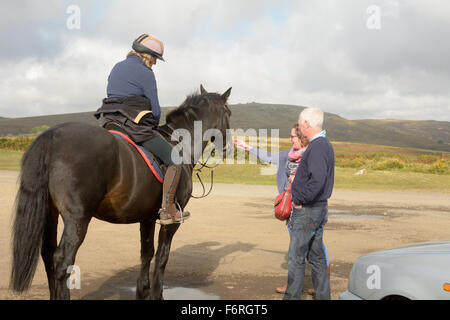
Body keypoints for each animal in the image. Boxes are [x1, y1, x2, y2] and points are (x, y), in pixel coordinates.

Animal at [9, 85, 232, 300]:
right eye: (228, 112)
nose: (228, 147)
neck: (180, 145)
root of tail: (51, 136)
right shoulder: (171, 222)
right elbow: (162, 256)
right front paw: (156, 293)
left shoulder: (147, 217)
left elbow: (147, 252)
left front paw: (143, 291)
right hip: (78, 219)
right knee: (62, 260)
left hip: (50, 214)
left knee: (47, 255)